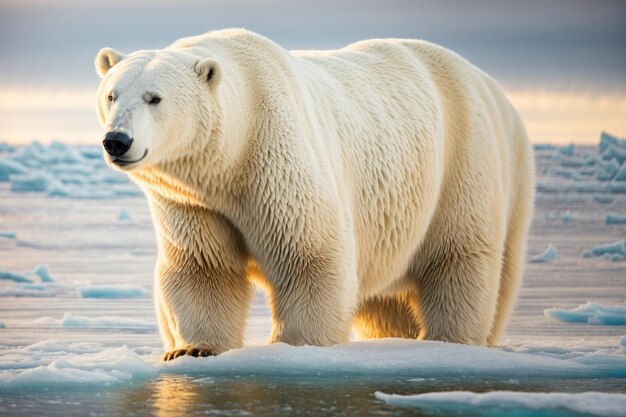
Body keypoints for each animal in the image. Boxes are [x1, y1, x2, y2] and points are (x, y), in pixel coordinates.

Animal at [94, 30, 532, 360]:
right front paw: (192, 349)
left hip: (467, 162)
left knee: (460, 257)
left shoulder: (277, 156)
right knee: (386, 302)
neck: (231, 159)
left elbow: (308, 255)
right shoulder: (193, 202)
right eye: (112, 94)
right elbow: (204, 268)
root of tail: (491, 86)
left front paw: (296, 345)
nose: (117, 140)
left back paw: (452, 339)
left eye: (154, 97)